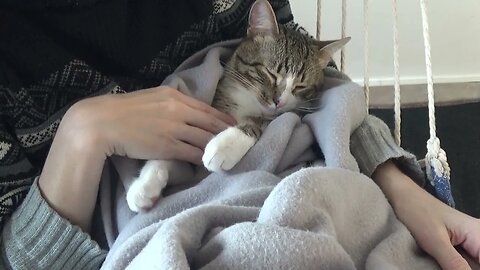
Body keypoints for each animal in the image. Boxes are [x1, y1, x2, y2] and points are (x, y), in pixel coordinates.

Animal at [124, 0, 348, 211]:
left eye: (300, 86)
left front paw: (224, 145)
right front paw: (145, 184)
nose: (279, 101)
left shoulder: (291, 113)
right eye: (270, 73)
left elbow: (259, 123)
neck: (247, 100)